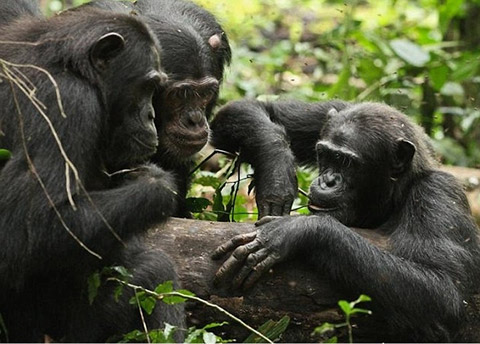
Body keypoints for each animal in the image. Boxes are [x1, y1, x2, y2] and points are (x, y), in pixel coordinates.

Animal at [0, 6, 184, 344]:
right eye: (148, 86)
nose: (150, 115)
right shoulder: (68, 104)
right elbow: (25, 230)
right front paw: (156, 184)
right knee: (156, 269)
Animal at [213, 101, 480, 342]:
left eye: (347, 162)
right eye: (325, 154)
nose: (328, 181)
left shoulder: (439, 195)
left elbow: (444, 294)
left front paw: (296, 230)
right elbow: (251, 108)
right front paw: (277, 176)